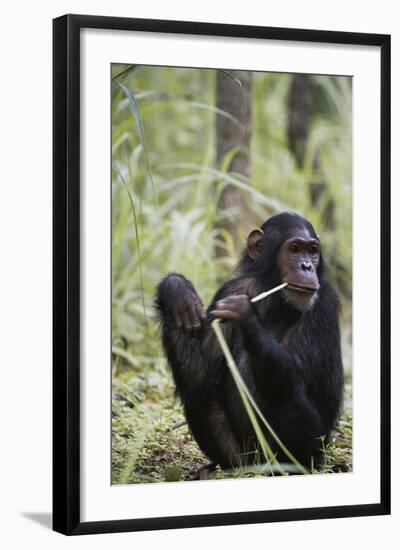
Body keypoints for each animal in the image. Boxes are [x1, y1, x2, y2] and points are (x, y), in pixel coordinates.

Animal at [155, 213, 342, 472]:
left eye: (313, 251)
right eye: (294, 249)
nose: (307, 266)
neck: (276, 297)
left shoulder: (324, 301)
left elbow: (298, 370)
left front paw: (245, 314)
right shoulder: (231, 289)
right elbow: (202, 377)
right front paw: (178, 292)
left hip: (310, 451)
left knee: (279, 386)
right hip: (238, 454)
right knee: (200, 394)